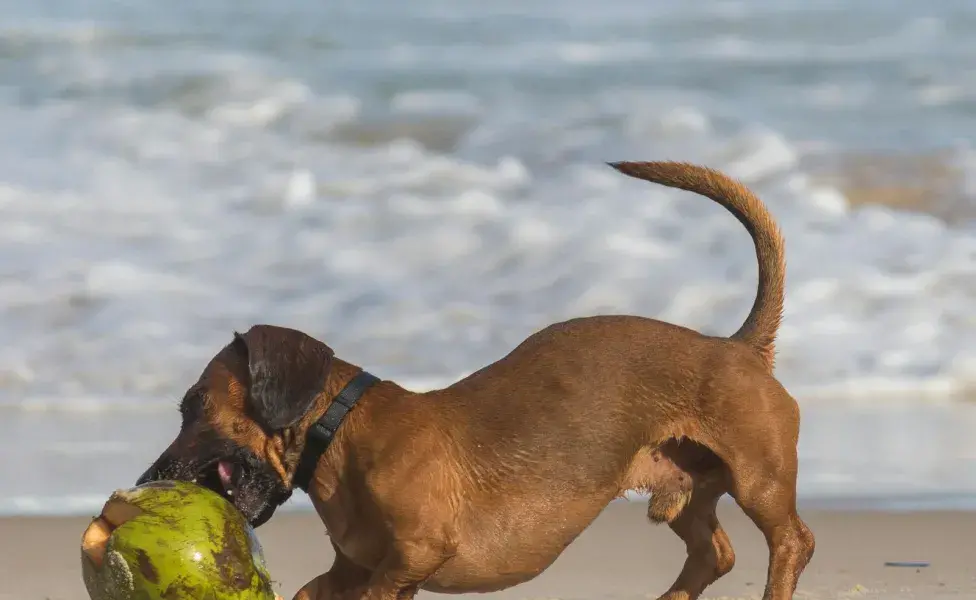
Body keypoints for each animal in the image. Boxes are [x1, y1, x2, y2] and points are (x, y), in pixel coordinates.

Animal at [137, 162, 816, 600]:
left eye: (195, 405)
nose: (146, 481)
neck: (344, 433)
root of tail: (737, 347)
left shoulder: (407, 562)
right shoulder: (349, 572)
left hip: (758, 480)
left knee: (793, 542)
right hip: (688, 492)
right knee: (714, 554)